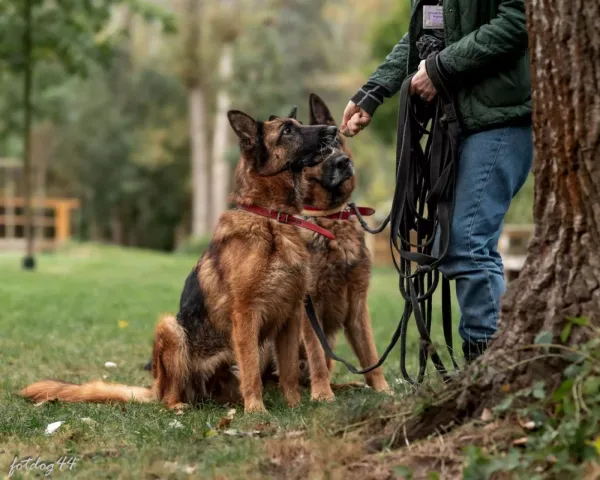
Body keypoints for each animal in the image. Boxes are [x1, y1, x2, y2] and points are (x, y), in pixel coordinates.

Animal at [19, 109, 338, 412]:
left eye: (298, 124)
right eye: (287, 130)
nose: (334, 130)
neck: (273, 218)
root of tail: (154, 388)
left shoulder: (291, 317)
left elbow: (289, 372)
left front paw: (294, 406)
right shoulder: (247, 314)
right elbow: (250, 372)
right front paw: (257, 412)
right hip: (170, 327)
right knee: (170, 396)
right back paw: (179, 406)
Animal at [298, 94, 392, 402]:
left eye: (337, 141)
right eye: (316, 154)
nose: (344, 161)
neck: (332, 219)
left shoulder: (358, 304)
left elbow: (370, 354)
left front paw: (383, 389)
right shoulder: (309, 308)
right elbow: (317, 353)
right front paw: (322, 395)